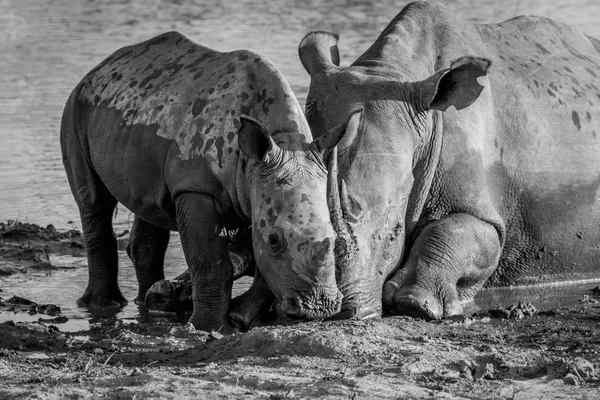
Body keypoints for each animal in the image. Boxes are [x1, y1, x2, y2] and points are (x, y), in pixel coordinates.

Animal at [59, 30, 352, 332]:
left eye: (333, 239)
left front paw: (239, 317)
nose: (318, 307)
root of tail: (99, 68)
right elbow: (212, 262)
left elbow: (262, 264)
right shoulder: (196, 188)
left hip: (132, 115)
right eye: (274, 239)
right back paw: (103, 305)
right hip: (76, 108)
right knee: (94, 202)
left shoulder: (257, 189)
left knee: (149, 205)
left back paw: (147, 303)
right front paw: (209, 327)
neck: (282, 139)